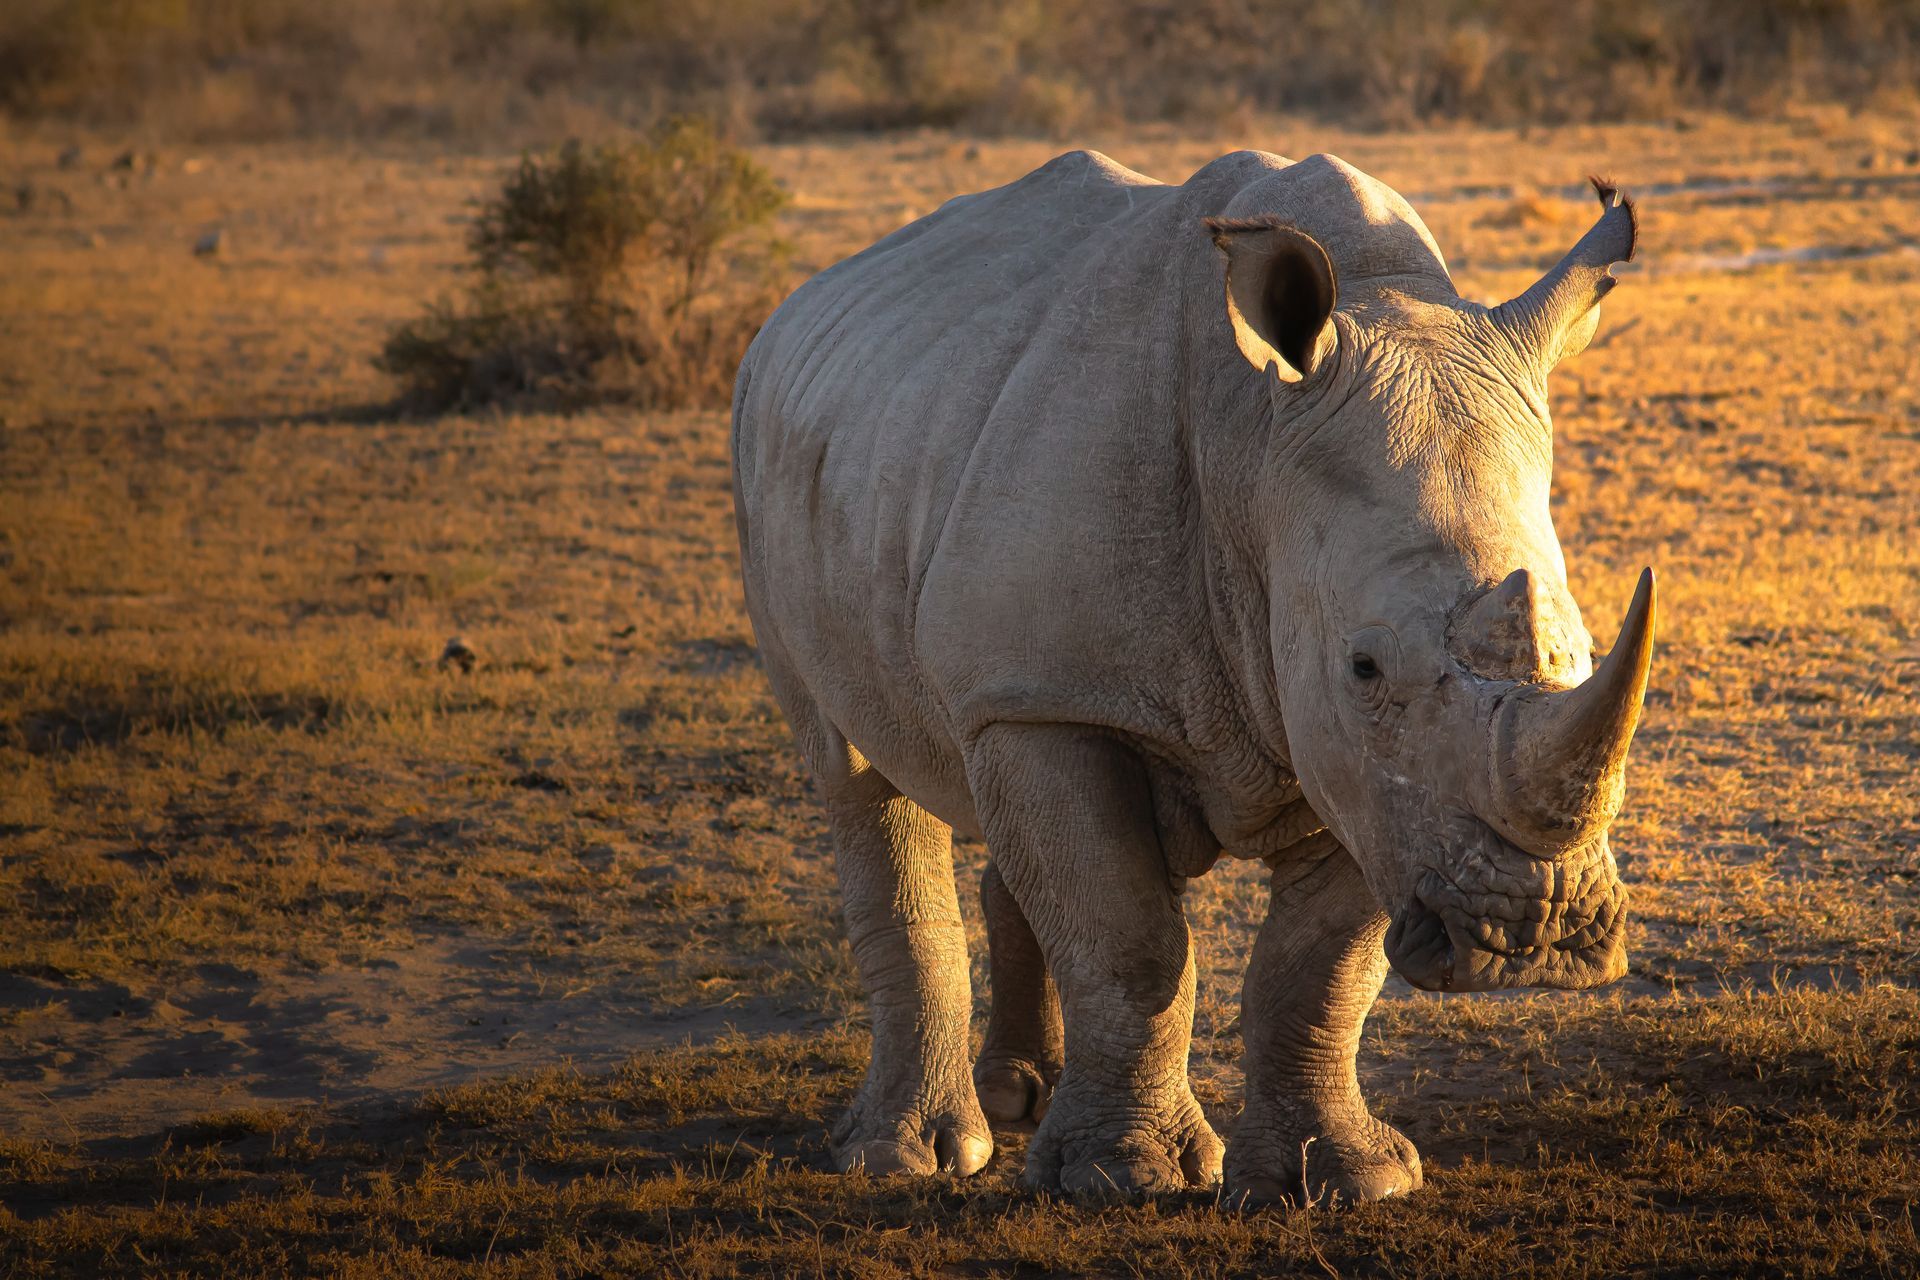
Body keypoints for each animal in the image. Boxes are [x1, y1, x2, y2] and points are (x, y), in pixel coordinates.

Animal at [729, 148, 1654, 1206]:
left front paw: (1346, 1181)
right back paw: (908, 1155)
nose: (1540, 935)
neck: (1253, 441)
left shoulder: (1366, 768)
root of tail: (796, 307)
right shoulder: (1062, 703)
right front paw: (1122, 1179)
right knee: (854, 775)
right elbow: (1127, 936)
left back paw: (1020, 1099)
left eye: (1582, 649)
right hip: (767, 461)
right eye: (1366, 665)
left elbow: (1320, 968)